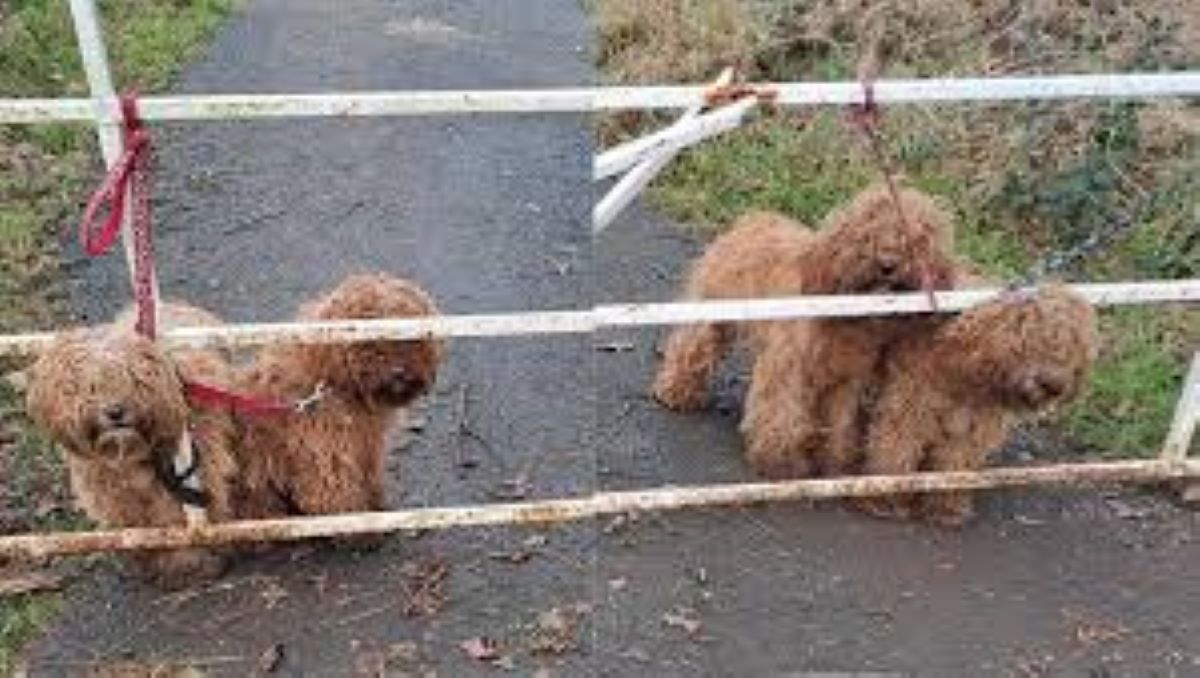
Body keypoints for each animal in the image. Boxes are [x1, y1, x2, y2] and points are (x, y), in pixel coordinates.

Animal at [27, 302, 240, 588]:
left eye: (134, 379)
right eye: (90, 387)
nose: (115, 411)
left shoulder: (191, 475)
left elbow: (175, 519)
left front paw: (189, 562)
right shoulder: (113, 494)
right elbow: (135, 526)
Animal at [234, 272, 441, 516]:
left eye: (408, 337)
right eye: (368, 341)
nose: (398, 372)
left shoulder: (367, 450)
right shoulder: (327, 456)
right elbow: (335, 497)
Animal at [652, 183, 960, 475]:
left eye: (915, 240)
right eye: (867, 233)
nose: (887, 264)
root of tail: (753, 219)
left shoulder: (844, 380)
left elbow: (838, 422)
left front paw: (832, 460)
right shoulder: (788, 365)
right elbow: (781, 412)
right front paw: (779, 460)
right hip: (713, 309)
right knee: (693, 345)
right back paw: (676, 391)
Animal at [859, 283, 1099, 525]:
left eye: (1076, 347)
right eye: (1035, 337)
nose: (1054, 387)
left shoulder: (970, 430)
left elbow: (955, 464)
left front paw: (945, 505)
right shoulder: (910, 410)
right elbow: (896, 451)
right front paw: (886, 496)